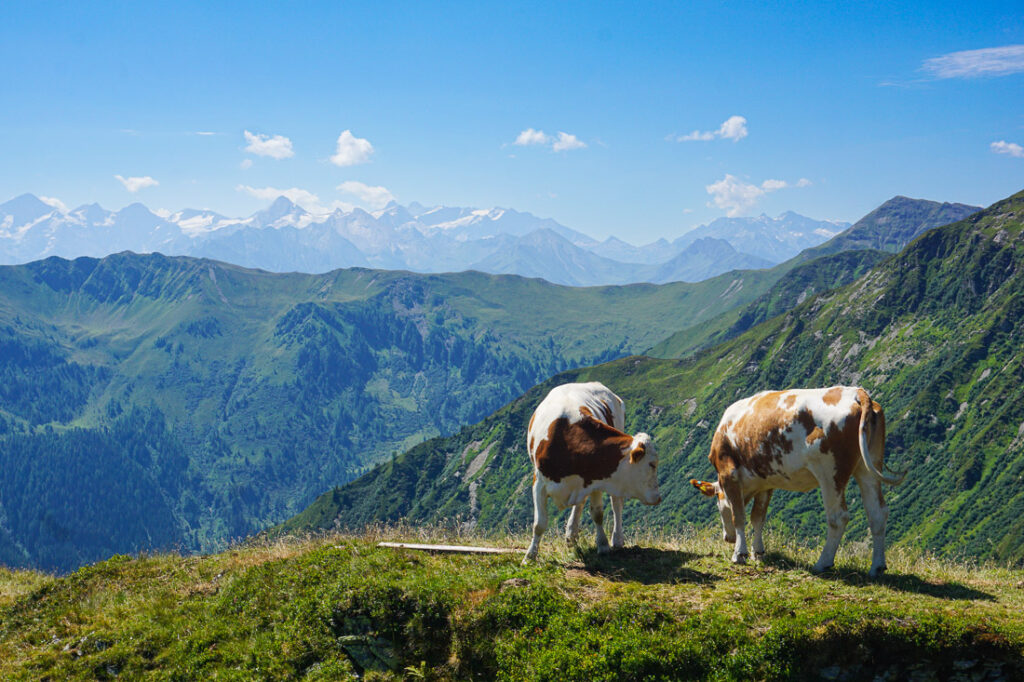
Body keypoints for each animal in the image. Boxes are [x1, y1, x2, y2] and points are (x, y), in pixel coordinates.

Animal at [523, 381, 661, 563]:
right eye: (652, 464)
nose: (658, 497)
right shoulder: (539, 483)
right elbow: (539, 523)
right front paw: (530, 556)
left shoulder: (597, 480)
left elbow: (597, 514)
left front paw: (603, 545)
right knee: (580, 504)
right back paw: (571, 536)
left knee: (616, 503)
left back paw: (616, 539)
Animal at [690, 386, 905, 577]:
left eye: (717, 503)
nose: (727, 538)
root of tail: (856, 392)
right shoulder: (765, 482)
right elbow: (758, 518)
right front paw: (757, 552)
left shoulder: (729, 474)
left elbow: (739, 516)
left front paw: (739, 554)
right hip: (868, 467)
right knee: (877, 513)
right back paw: (877, 567)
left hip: (830, 472)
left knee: (838, 517)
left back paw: (822, 563)